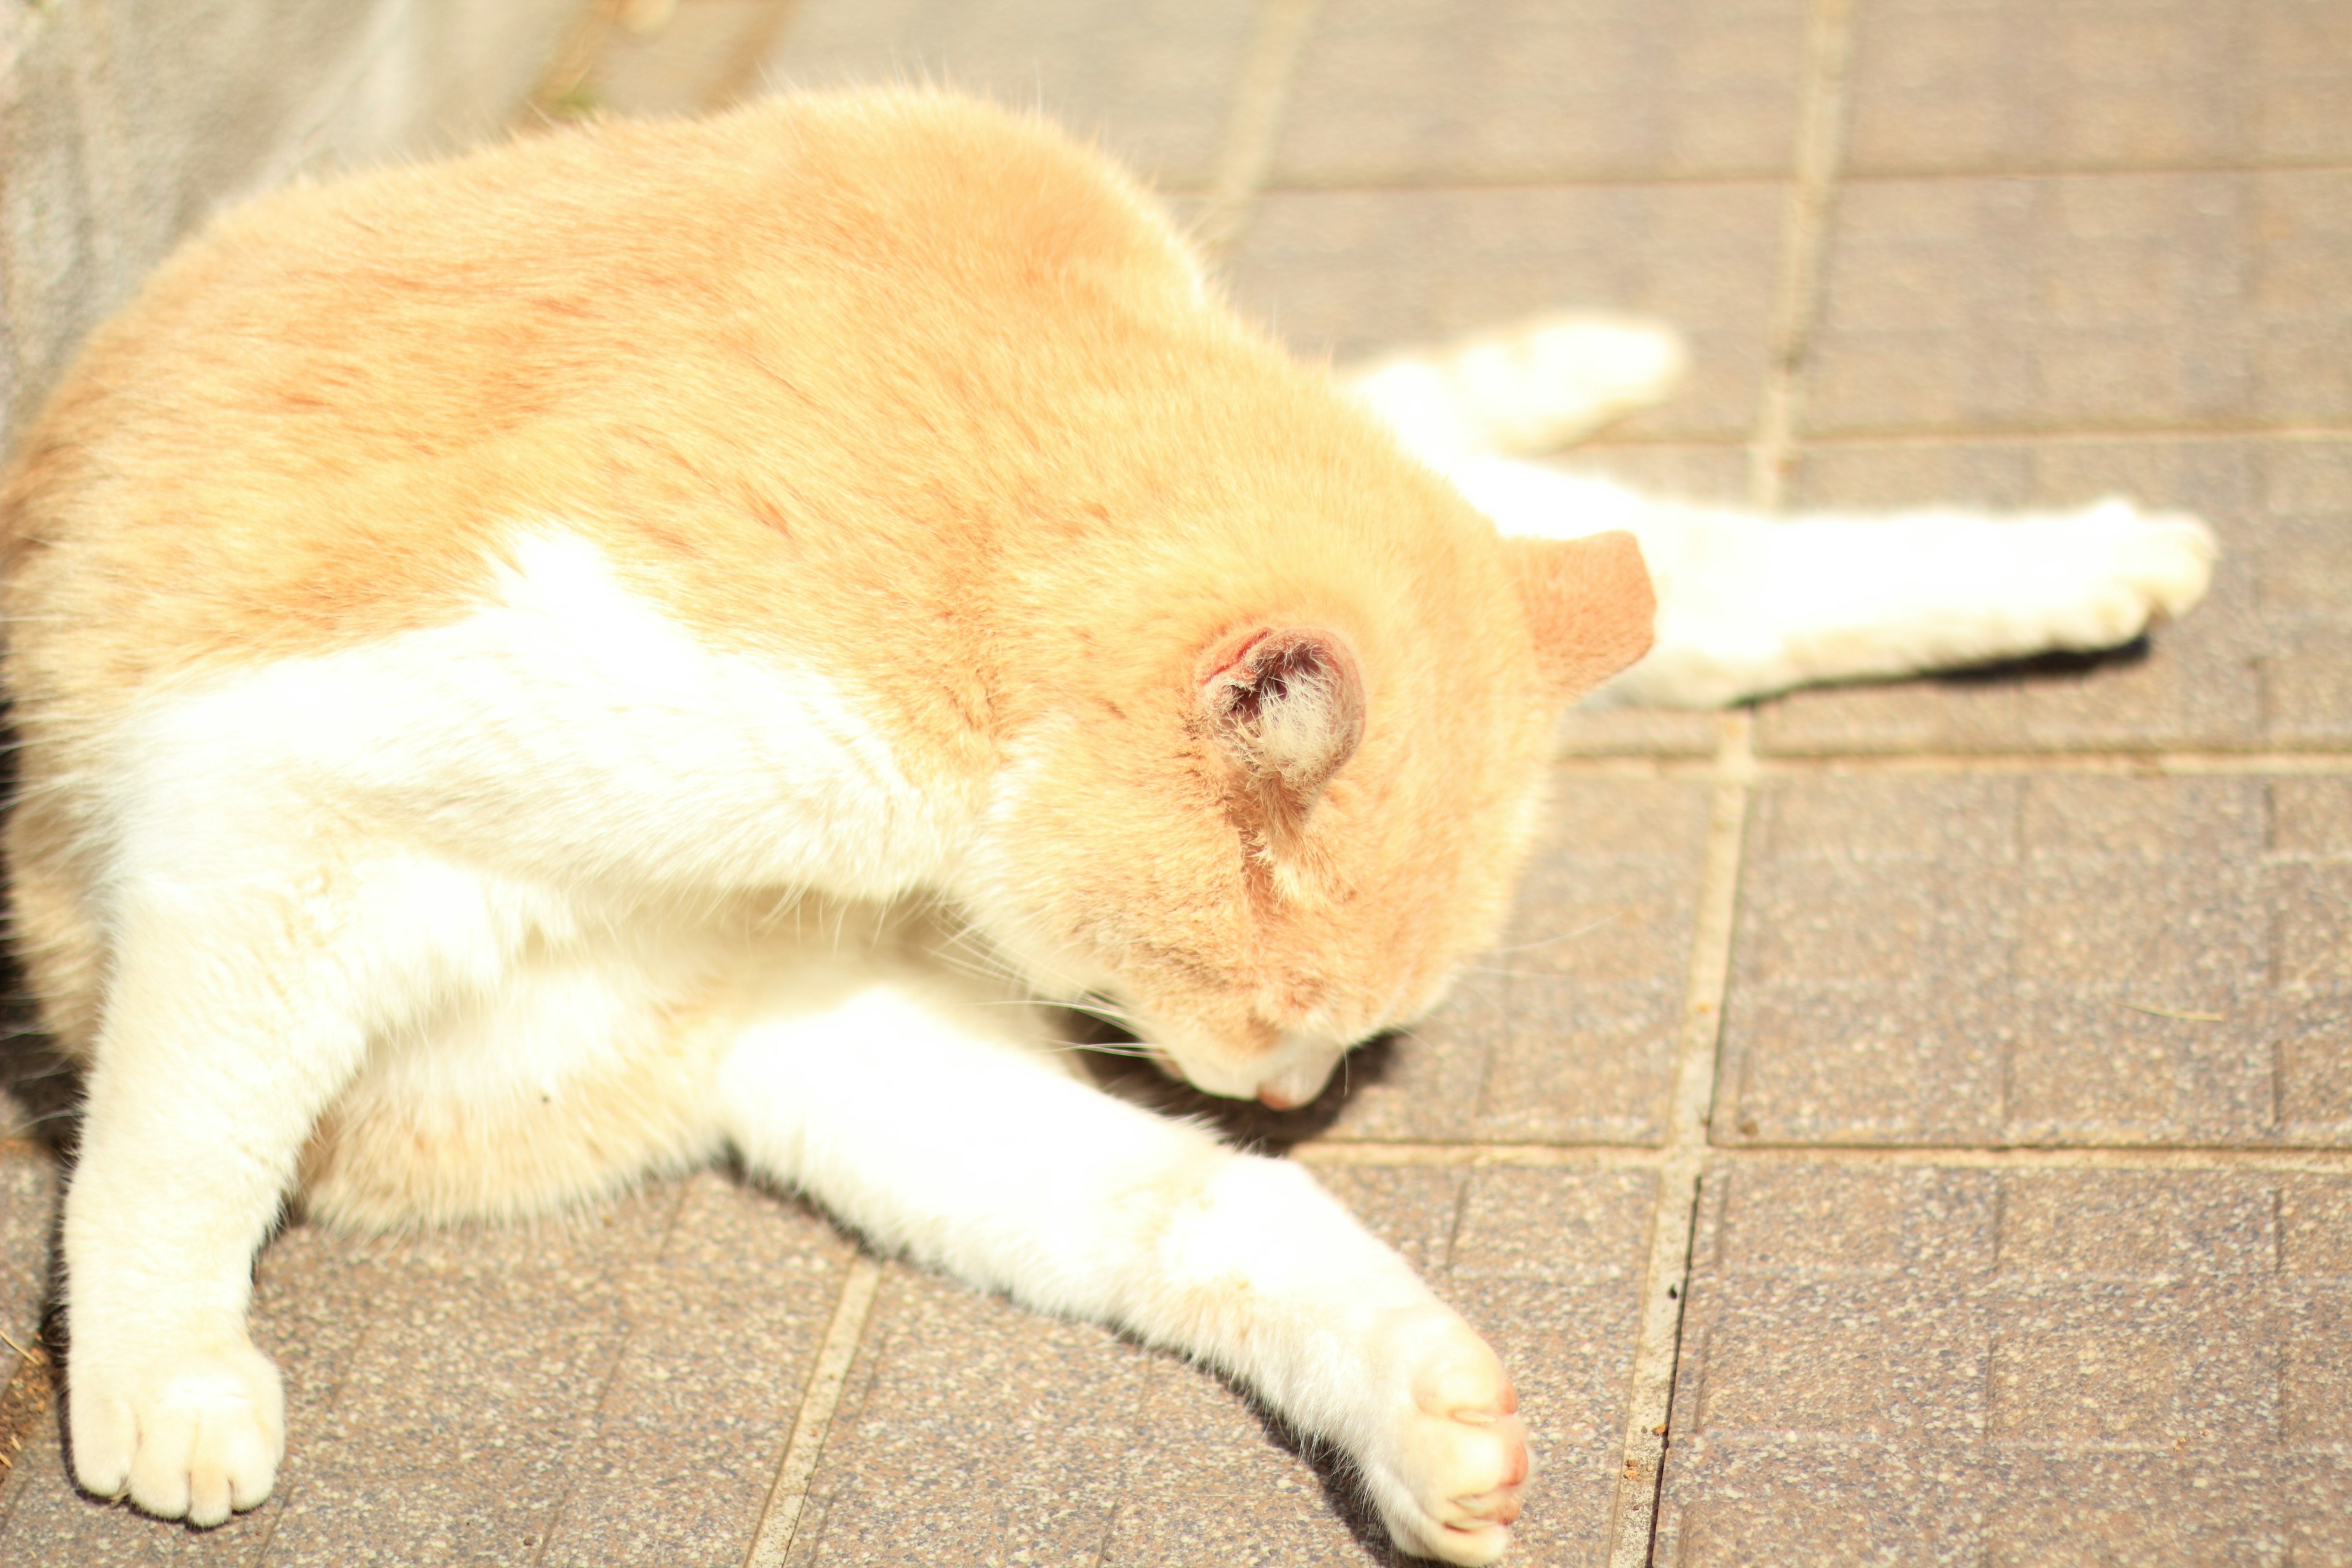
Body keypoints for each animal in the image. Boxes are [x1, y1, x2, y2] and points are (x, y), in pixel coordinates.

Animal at [0, 88, 2201, 1568]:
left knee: (1706, 574)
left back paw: (2094, 554)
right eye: (1279, 1010)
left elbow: (1209, 1214)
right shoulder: (280, 816)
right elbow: (182, 1141)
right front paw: (157, 1386)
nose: (1300, 1090)